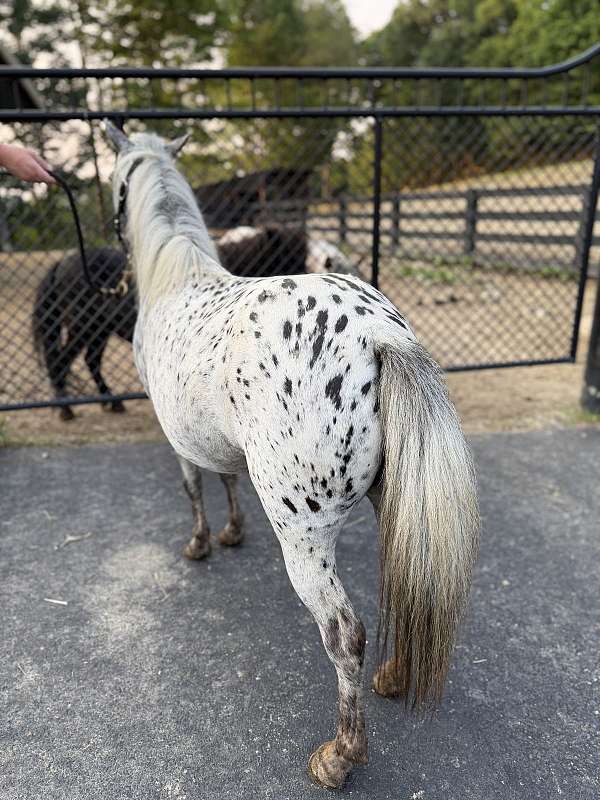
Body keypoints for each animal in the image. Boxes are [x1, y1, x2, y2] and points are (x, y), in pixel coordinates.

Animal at [33, 230, 359, 420]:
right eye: (294, 254)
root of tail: (62, 262)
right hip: (83, 326)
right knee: (61, 359)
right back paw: (66, 410)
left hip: (98, 330)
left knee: (90, 360)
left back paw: (111, 404)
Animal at [104, 120, 479, 790]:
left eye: (117, 187)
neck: (176, 273)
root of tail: (378, 332)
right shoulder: (216, 442)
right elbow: (226, 481)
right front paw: (231, 532)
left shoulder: (176, 440)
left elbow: (194, 488)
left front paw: (200, 544)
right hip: (393, 507)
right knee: (410, 582)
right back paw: (392, 679)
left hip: (304, 536)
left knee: (345, 634)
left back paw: (340, 756)